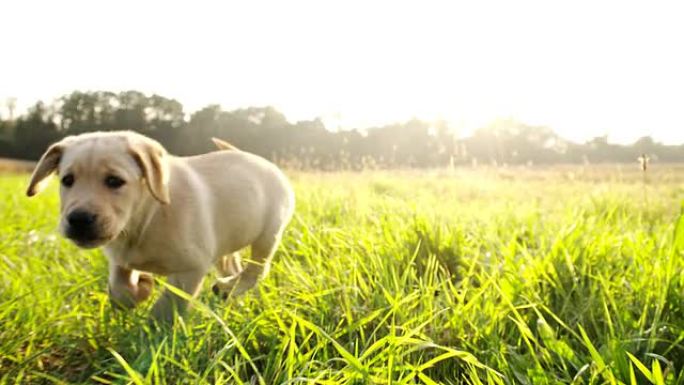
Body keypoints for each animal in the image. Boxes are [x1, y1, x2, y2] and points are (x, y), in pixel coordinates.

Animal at [26, 131, 294, 320]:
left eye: (114, 181)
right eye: (67, 180)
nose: (79, 219)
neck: (145, 218)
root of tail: (261, 160)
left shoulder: (191, 269)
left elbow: (167, 307)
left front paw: (149, 340)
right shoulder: (120, 258)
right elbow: (119, 290)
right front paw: (142, 287)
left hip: (269, 233)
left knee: (258, 270)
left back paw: (228, 288)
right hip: (226, 243)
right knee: (233, 265)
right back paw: (232, 294)